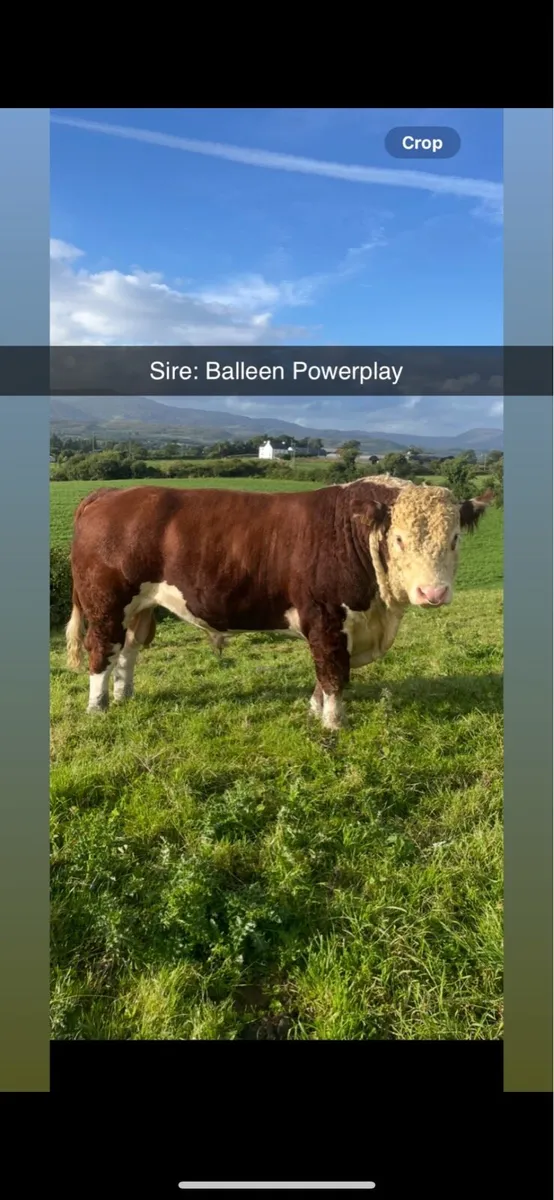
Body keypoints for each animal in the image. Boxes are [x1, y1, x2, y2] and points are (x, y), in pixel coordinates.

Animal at [65, 476, 492, 730]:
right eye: (399, 539)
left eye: (454, 538)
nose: (432, 594)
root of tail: (112, 493)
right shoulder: (325, 619)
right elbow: (333, 674)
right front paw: (334, 724)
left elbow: (325, 675)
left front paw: (315, 710)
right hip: (106, 602)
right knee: (101, 648)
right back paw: (98, 705)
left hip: (140, 607)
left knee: (128, 648)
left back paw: (124, 694)